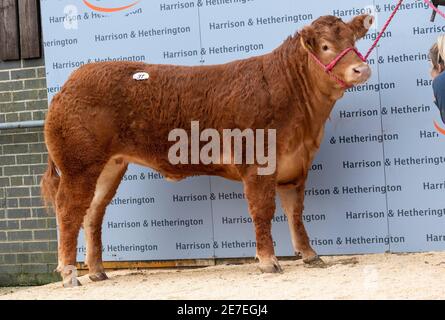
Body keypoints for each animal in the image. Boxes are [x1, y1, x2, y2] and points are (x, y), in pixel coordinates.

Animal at [41, 14, 372, 288]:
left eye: (353, 42)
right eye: (326, 46)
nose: (362, 69)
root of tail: (70, 84)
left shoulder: (296, 167)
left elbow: (296, 213)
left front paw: (310, 255)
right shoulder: (257, 163)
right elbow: (263, 211)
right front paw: (269, 262)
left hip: (109, 166)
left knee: (93, 212)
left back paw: (97, 271)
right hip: (78, 165)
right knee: (69, 211)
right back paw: (69, 274)